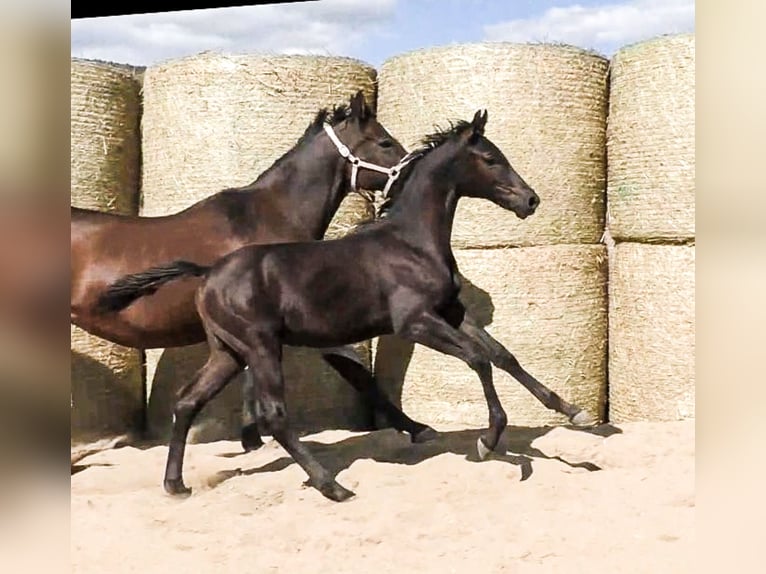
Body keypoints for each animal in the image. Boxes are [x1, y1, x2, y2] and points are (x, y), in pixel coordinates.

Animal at [73, 91, 438, 450]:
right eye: (385, 142)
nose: (415, 174)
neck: (270, 215)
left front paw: (251, 438)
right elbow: (358, 373)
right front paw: (417, 428)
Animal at [99, 110, 596, 502]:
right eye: (491, 158)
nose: (530, 199)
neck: (411, 240)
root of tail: (206, 273)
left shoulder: (450, 312)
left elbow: (503, 355)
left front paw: (575, 412)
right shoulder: (414, 322)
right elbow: (479, 359)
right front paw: (488, 440)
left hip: (228, 352)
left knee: (187, 402)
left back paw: (175, 484)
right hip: (260, 347)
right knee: (274, 415)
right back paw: (332, 486)